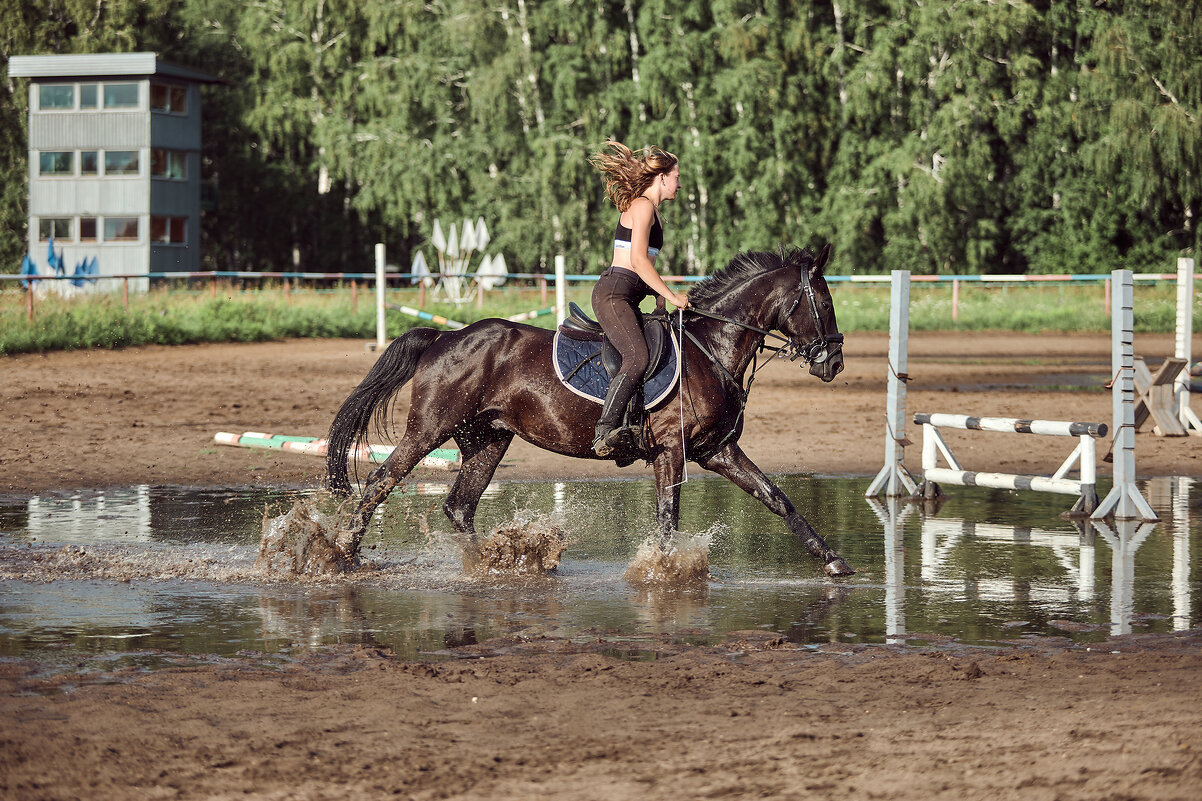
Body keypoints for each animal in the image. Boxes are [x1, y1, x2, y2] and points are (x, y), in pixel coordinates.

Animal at [324, 242, 855, 574]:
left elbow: (778, 498)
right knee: (381, 481)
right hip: (430, 428)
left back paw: (500, 562)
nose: (833, 362)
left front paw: (833, 560)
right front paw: (664, 574)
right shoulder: (671, 451)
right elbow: (668, 519)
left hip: (487, 439)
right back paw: (343, 552)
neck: (711, 350)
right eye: (825, 303)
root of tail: (445, 337)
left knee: (460, 506)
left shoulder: (716, 451)